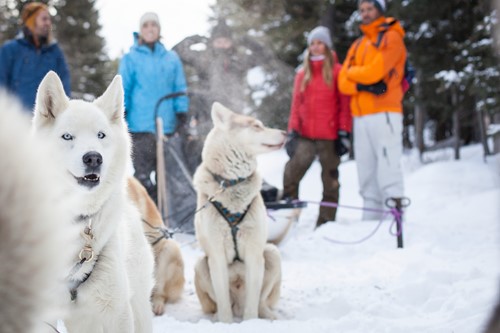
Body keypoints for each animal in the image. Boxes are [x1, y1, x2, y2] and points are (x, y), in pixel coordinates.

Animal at [192, 103, 286, 322]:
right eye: (257, 126)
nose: (286, 133)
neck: (232, 183)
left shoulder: (254, 254)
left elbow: (252, 303)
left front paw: (250, 323)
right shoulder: (216, 256)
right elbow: (223, 302)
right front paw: (225, 324)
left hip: (272, 253)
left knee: (260, 303)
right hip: (201, 263)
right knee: (221, 305)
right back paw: (215, 318)